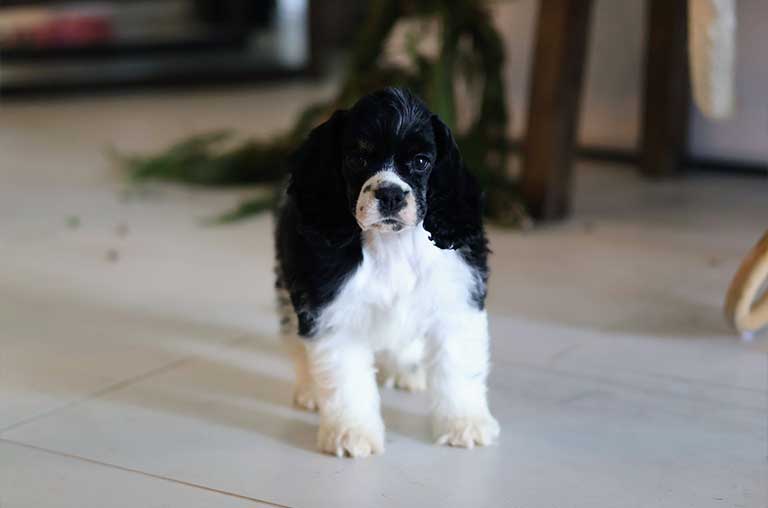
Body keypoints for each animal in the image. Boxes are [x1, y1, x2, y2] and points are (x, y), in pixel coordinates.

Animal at [274, 87, 498, 456]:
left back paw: (407, 369)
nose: (391, 193)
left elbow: (458, 367)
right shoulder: (331, 308)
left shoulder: (456, 298)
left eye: (421, 161)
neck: (393, 244)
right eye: (358, 158)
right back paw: (309, 389)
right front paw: (351, 434)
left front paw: (464, 424)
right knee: (294, 336)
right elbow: (345, 377)